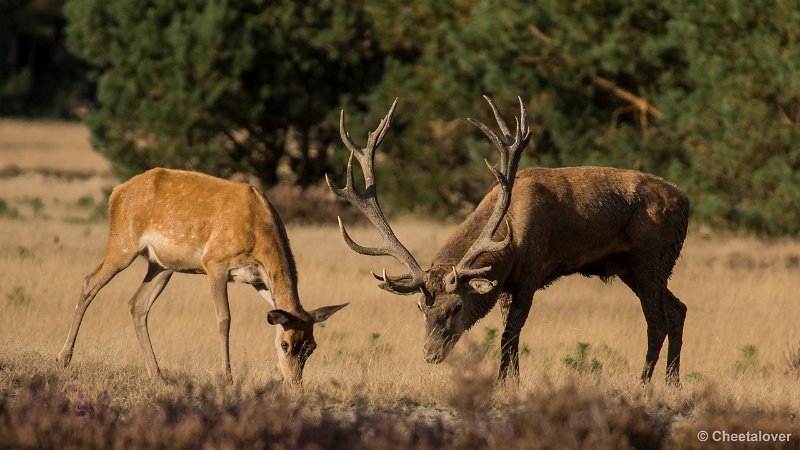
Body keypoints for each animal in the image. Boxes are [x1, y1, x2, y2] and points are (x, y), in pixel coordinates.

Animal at [53, 169, 346, 384]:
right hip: (122, 245)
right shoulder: (215, 263)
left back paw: (158, 375)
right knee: (90, 282)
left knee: (137, 304)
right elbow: (224, 318)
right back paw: (63, 358)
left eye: (311, 347)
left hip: (161, 265)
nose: (294, 381)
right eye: (285, 344)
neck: (256, 231)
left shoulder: (257, 280)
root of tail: (116, 193)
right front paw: (227, 377)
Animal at [328, 95, 692, 384]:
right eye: (420, 306)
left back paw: (644, 382)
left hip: (652, 259)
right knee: (678, 309)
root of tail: (687, 202)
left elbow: (510, 333)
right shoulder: (505, 283)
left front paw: (504, 382)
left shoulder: (531, 274)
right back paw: (672, 382)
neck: (510, 237)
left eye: (457, 306)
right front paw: (512, 380)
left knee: (656, 321)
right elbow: (509, 334)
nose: (431, 355)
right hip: (632, 267)